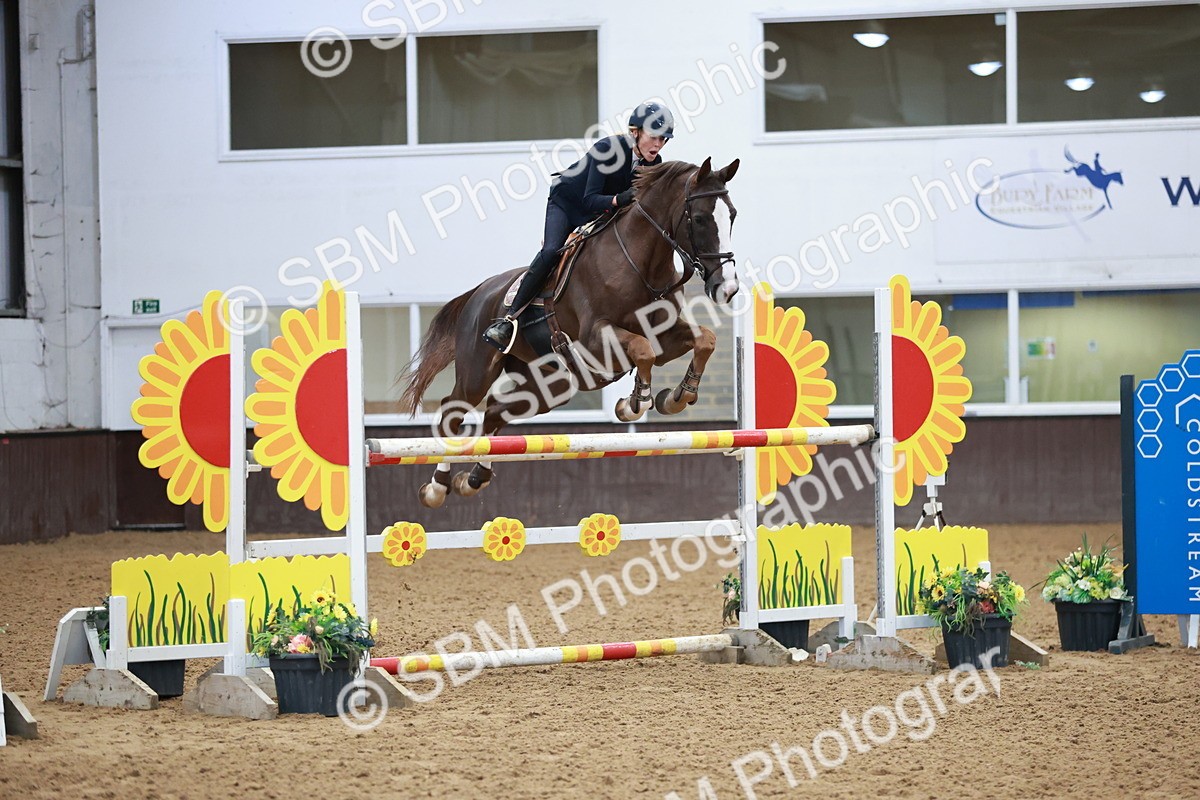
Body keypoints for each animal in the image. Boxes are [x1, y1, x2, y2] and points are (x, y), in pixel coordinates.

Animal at [397, 157, 741, 508]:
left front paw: (677, 397)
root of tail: (480, 290)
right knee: (452, 412)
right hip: (477, 372)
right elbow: (642, 349)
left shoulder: (665, 337)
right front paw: (637, 402)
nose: (727, 288)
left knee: (494, 410)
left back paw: (475, 477)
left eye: (732, 215)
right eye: (699, 218)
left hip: (550, 385)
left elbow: (704, 341)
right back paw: (437, 487)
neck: (640, 264)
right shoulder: (597, 338)